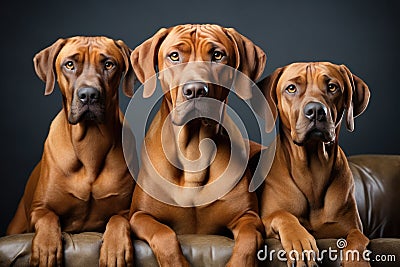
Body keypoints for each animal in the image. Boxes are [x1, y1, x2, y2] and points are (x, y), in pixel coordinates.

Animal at [6, 36, 136, 266]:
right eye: (69, 64)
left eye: (108, 64)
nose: (89, 95)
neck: (90, 144)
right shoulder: (39, 208)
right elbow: (48, 218)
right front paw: (46, 248)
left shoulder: (126, 210)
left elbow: (118, 220)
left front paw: (115, 249)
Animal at [129, 24, 266, 266]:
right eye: (174, 56)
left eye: (217, 55)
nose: (195, 90)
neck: (193, 152)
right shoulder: (139, 215)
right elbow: (163, 233)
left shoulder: (248, 217)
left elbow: (248, 241)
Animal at [258, 63, 370, 267]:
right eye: (291, 88)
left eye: (332, 87)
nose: (316, 111)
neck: (312, 170)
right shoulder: (265, 219)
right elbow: (283, 215)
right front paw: (299, 242)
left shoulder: (351, 227)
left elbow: (357, 238)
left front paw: (356, 261)